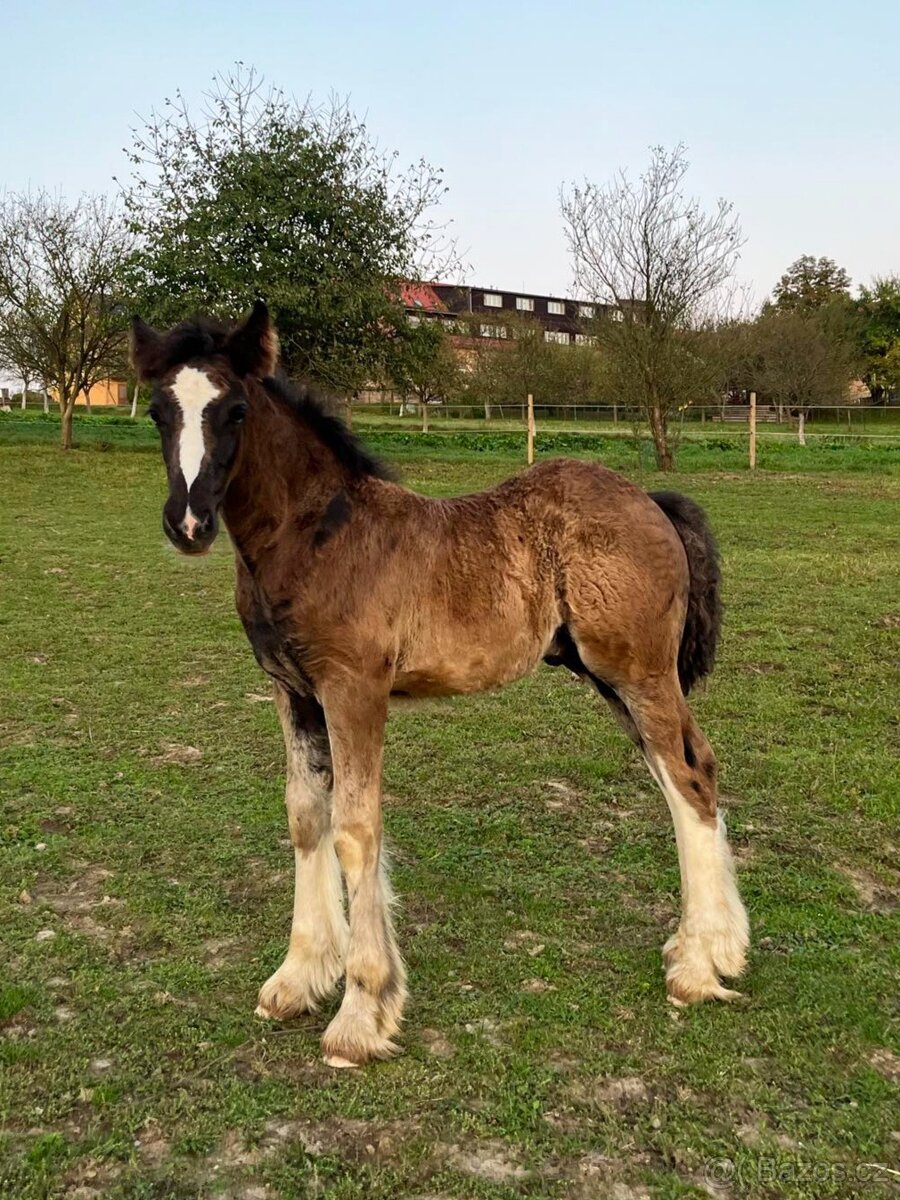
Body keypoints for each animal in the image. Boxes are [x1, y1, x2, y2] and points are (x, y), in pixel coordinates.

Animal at [133, 302, 748, 1070]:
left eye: (235, 410)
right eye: (158, 411)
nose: (187, 523)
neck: (316, 536)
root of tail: (653, 501)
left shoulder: (353, 691)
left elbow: (356, 829)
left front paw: (362, 1011)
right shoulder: (293, 693)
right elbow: (307, 817)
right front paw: (299, 977)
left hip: (638, 673)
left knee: (689, 778)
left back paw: (696, 968)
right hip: (616, 679)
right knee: (686, 774)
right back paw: (714, 950)